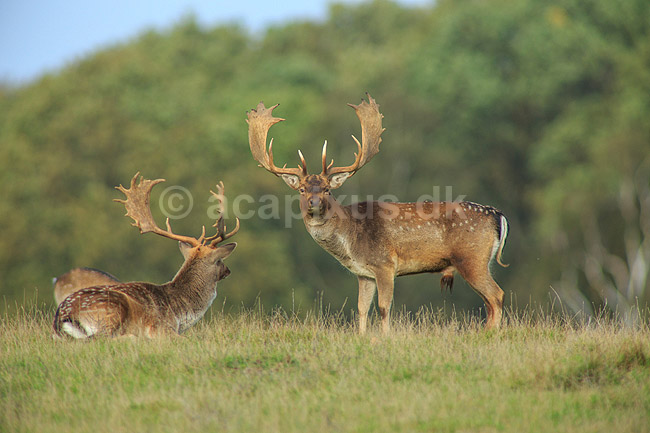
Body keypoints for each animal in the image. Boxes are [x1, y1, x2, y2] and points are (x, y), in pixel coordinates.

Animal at [53, 173, 239, 339]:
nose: (228, 270)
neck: (180, 313)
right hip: (111, 309)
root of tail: (63, 316)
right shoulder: (161, 328)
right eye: (220, 260)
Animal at [247, 93, 509, 333]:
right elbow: (362, 308)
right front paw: (362, 338)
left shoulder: (385, 264)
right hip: (480, 261)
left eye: (327, 188)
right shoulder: (364, 274)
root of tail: (498, 215)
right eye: (301, 189)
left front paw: (384, 338)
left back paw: (489, 336)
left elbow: (384, 307)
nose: (314, 202)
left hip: (472, 258)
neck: (351, 239)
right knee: (490, 302)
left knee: (496, 295)